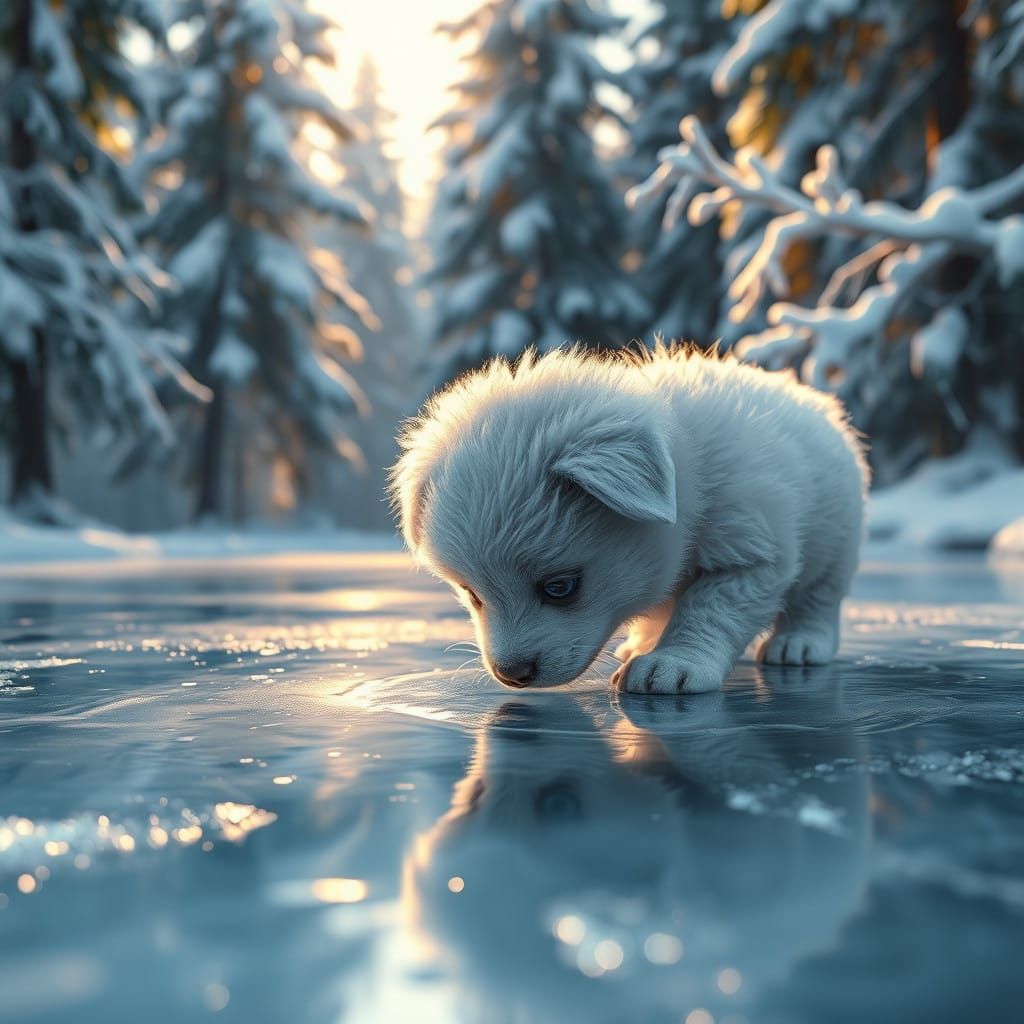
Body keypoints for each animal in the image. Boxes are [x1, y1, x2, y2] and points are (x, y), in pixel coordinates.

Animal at [389, 346, 864, 696]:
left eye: (560, 587)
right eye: (471, 593)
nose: (512, 674)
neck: (688, 475)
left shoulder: (750, 553)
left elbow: (708, 612)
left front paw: (674, 662)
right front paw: (653, 647)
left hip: (836, 540)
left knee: (818, 599)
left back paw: (799, 642)